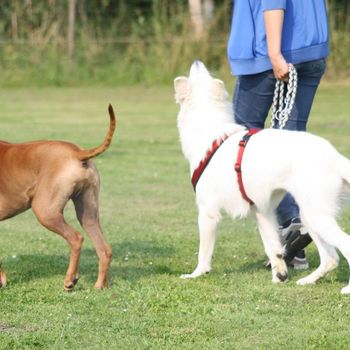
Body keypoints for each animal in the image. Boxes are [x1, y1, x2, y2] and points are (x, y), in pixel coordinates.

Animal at [0, 105, 116, 292]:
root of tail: (77, 153)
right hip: (88, 213)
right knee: (104, 249)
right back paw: (100, 286)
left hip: (45, 211)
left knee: (76, 239)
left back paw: (70, 280)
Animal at [175, 60, 350, 296]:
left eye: (198, 74)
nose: (197, 62)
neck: (210, 131)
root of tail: (336, 157)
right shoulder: (263, 212)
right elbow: (273, 249)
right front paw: (280, 277)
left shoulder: (208, 212)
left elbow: (204, 252)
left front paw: (196, 274)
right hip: (309, 216)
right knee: (331, 258)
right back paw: (307, 280)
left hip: (317, 216)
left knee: (345, 245)